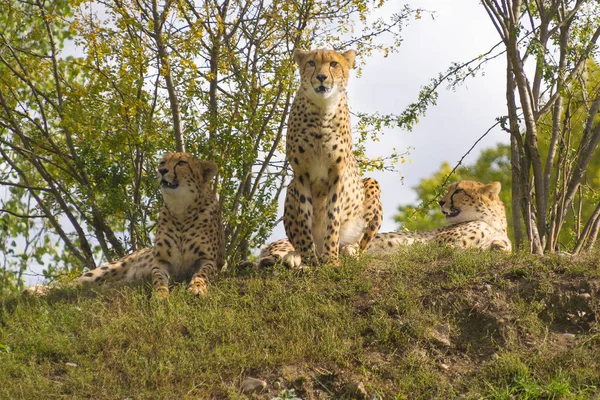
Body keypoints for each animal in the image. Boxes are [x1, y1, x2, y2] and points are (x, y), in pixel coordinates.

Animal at [27, 153, 225, 296]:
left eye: (181, 163)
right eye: (163, 161)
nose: (161, 170)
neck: (182, 209)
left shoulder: (208, 260)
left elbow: (201, 274)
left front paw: (197, 288)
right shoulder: (161, 261)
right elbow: (158, 278)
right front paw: (161, 294)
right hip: (109, 269)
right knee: (72, 284)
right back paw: (35, 291)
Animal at [253, 180, 510, 268]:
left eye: (458, 190)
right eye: (450, 189)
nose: (441, 201)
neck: (492, 221)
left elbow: (502, 248)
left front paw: (498, 247)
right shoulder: (441, 245)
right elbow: (463, 251)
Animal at [284, 48, 382, 268]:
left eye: (334, 64)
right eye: (311, 63)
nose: (321, 77)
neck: (322, 110)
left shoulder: (337, 175)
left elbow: (333, 217)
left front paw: (331, 258)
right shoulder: (301, 174)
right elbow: (304, 218)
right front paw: (309, 259)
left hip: (372, 184)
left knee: (362, 244)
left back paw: (348, 250)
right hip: (290, 188)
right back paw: (295, 255)